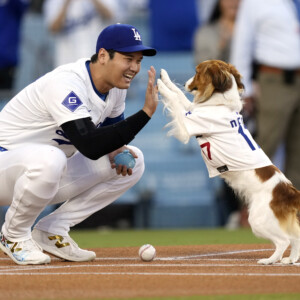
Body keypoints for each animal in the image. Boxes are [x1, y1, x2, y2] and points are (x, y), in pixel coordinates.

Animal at [157, 59, 300, 264]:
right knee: (295, 238)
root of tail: (288, 191)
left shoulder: (187, 125)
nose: (186, 82)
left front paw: (160, 86)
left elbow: (175, 100)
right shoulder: (192, 111)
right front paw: (165, 78)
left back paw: (270, 260)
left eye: (197, 72)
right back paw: (290, 260)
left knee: (284, 241)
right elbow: (179, 96)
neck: (220, 104)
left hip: (258, 220)